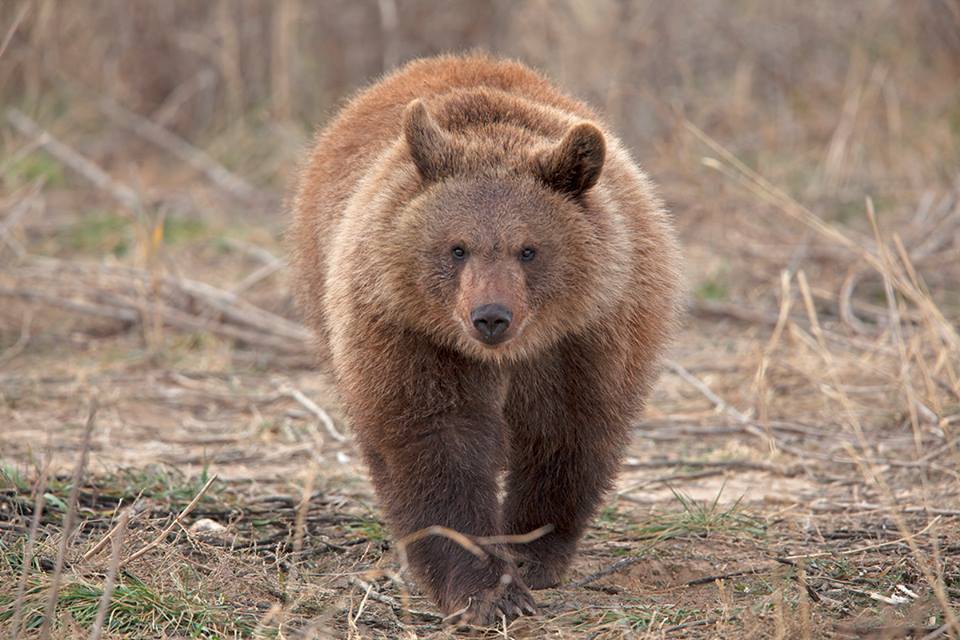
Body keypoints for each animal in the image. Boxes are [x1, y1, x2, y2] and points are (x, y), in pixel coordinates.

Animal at [288, 55, 680, 624]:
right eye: (457, 248)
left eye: (528, 249)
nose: (490, 317)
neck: (505, 356)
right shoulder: (413, 335)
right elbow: (437, 444)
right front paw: (487, 590)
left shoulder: (585, 337)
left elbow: (565, 434)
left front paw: (531, 554)